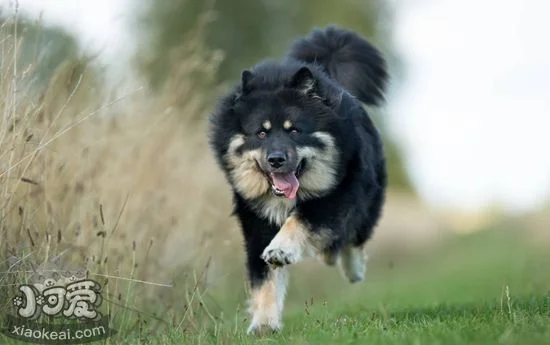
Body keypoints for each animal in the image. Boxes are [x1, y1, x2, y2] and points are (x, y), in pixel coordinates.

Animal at [209, 26, 390, 334]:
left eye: (294, 130)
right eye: (261, 133)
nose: (276, 159)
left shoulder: (335, 196)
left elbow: (300, 221)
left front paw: (281, 248)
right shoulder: (256, 222)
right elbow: (264, 277)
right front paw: (264, 324)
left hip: (367, 197)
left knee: (355, 235)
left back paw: (352, 269)